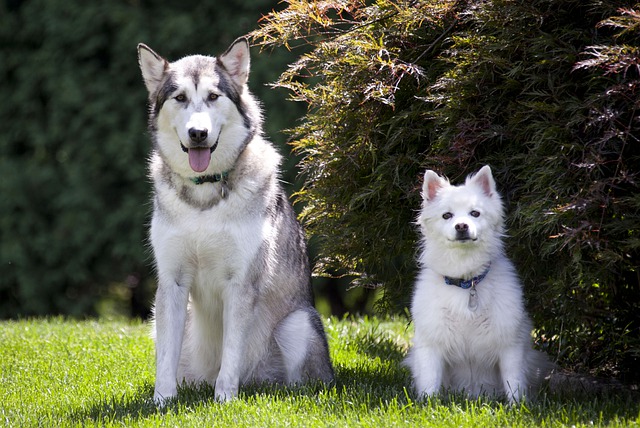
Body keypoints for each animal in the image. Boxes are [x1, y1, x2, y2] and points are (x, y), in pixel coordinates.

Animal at [137, 37, 332, 404]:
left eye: (214, 96)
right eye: (180, 98)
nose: (198, 133)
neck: (204, 195)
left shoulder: (240, 282)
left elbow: (231, 355)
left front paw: (224, 400)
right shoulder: (172, 281)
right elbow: (165, 360)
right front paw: (162, 401)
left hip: (298, 324)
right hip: (160, 320)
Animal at [408, 166, 548, 402]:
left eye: (475, 213)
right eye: (447, 215)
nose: (461, 226)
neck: (467, 282)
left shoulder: (510, 344)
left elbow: (514, 381)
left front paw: (517, 405)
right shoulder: (432, 344)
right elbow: (429, 381)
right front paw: (427, 403)